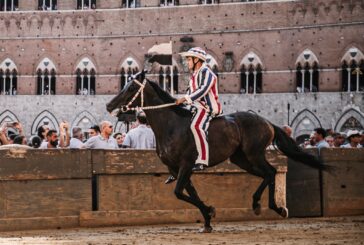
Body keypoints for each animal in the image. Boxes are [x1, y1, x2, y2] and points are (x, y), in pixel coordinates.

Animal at [106, 71, 330, 234]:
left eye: (132, 87)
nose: (109, 105)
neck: (172, 125)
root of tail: (267, 122)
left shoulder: (186, 164)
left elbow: (179, 192)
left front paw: (210, 211)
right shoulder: (177, 169)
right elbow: (190, 193)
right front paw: (207, 219)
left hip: (254, 154)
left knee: (271, 172)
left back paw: (270, 207)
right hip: (242, 160)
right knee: (267, 174)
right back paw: (267, 206)